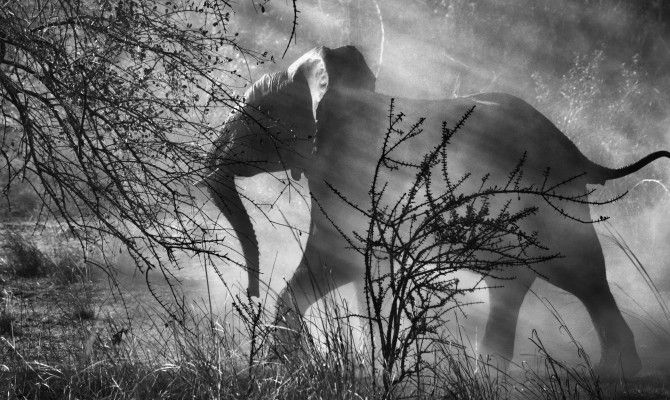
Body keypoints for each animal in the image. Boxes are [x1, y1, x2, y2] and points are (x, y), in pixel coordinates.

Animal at [206, 45, 670, 376]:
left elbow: (338, 260)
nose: (248, 293)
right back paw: (495, 374)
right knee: (516, 281)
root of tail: (578, 152)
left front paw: (284, 365)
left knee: (580, 272)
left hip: (552, 198)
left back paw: (616, 373)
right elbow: (345, 267)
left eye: (255, 114)